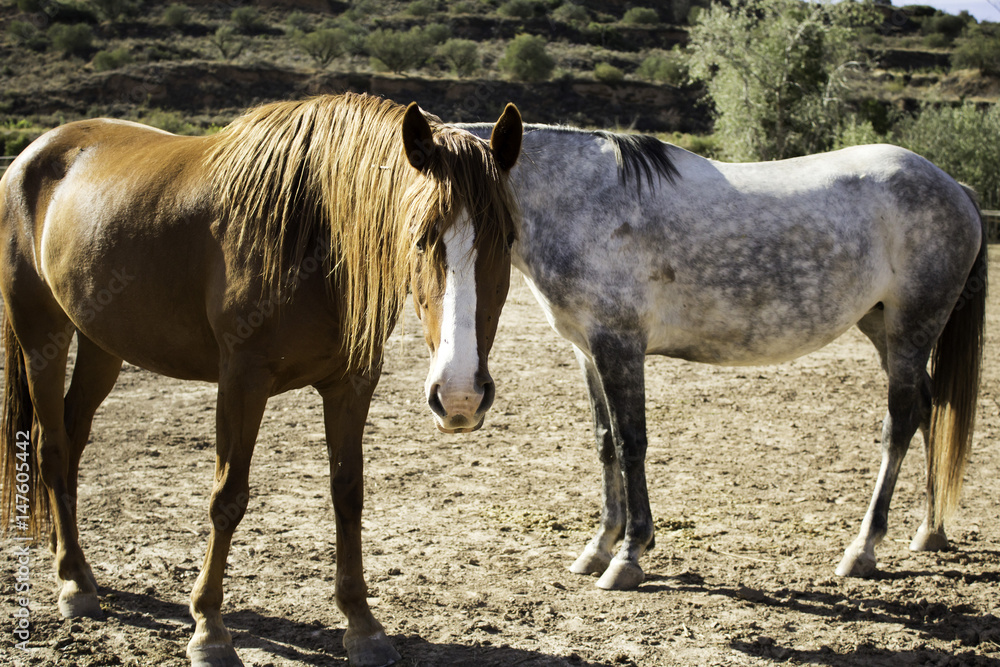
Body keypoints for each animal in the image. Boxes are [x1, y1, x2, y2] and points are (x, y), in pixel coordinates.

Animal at [0, 93, 522, 667]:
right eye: (421, 236)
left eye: (508, 239)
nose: (460, 395)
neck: (314, 230)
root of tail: (33, 155)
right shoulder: (241, 381)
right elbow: (228, 497)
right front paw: (209, 628)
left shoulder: (353, 383)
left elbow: (348, 493)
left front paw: (362, 624)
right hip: (41, 334)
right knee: (49, 447)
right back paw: (73, 583)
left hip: (101, 345)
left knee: (72, 439)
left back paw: (70, 561)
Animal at [456, 122, 986, 591]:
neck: (578, 200)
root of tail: (953, 187)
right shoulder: (586, 351)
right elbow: (606, 442)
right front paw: (599, 546)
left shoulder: (619, 345)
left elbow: (631, 444)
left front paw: (629, 555)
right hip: (881, 327)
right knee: (928, 410)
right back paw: (930, 531)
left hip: (912, 328)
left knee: (900, 425)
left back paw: (863, 549)